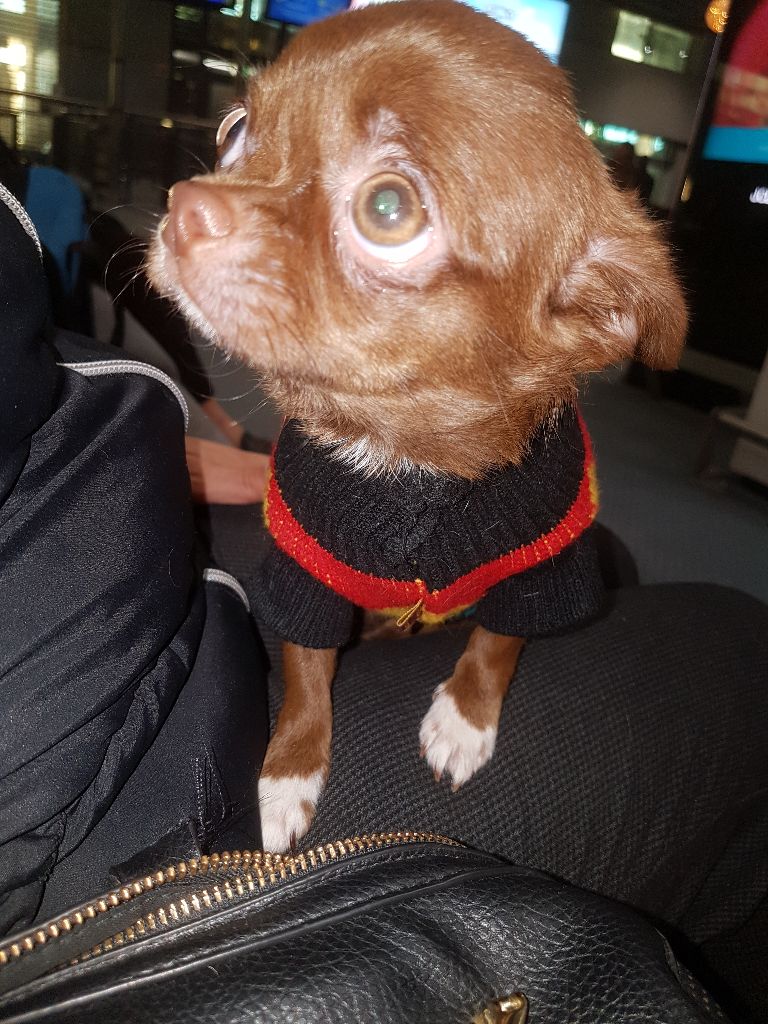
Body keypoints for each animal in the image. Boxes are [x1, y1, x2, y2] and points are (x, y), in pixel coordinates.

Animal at [148, 0, 686, 852]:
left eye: (387, 208)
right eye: (236, 128)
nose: (186, 203)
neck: (408, 455)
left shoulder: (544, 566)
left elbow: (499, 641)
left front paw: (465, 720)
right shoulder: (308, 569)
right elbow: (305, 671)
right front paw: (289, 771)